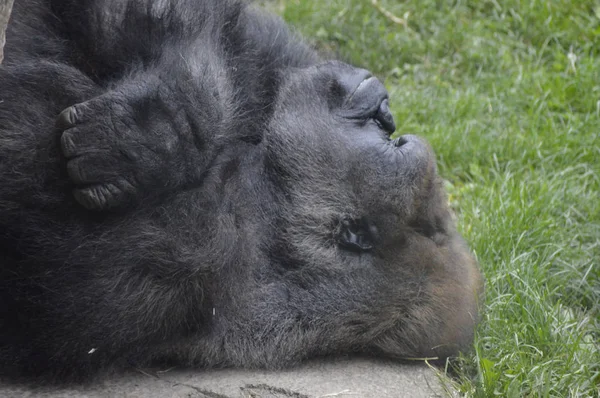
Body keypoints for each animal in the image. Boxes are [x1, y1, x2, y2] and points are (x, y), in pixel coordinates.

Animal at [0, 0, 482, 382]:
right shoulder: (277, 65)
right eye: (391, 135)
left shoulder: (192, 250)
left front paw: (162, 132)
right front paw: (169, 123)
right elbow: (228, 36)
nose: (383, 109)